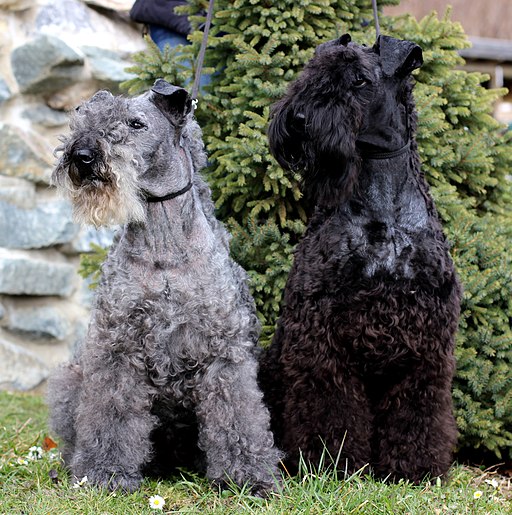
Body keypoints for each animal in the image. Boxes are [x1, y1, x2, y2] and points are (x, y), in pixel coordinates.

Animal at [46, 80, 282, 496]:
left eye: (136, 123)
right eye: (83, 116)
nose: (83, 155)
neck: (165, 249)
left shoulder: (223, 351)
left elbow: (237, 416)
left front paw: (249, 476)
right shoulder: (118, 347)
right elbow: (111, 413)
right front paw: (105, 472)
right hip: (74, 377)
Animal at [260, 35, 464, 484]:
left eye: (359, 80)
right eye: (312, 69)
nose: (299, 118)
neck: (383, 214)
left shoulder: (426, 342)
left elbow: (418, 409)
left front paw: (414, 467)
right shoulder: (320, 331)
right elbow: (328, 404)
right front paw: (330, 463)